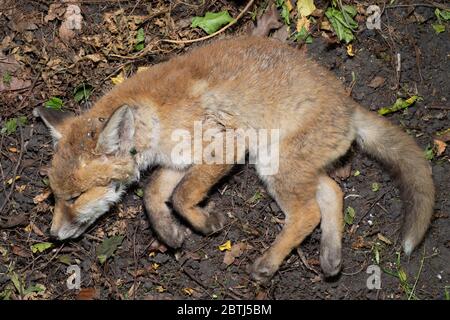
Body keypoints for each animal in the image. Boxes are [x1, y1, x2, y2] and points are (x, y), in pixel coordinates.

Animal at [33, 36, 434, 284]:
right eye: (55, 198)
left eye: (75, 198)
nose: (52, 235)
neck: (153, 117)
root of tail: (350, 105)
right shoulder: (178, 160)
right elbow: (153, 195)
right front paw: (169, 233)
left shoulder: (228, 144)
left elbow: (182, 196)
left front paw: (206, 223)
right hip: (287, 166)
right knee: (332, 192)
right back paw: (331, 256)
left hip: (272, 162)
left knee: (308, 213)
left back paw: (268, 264)